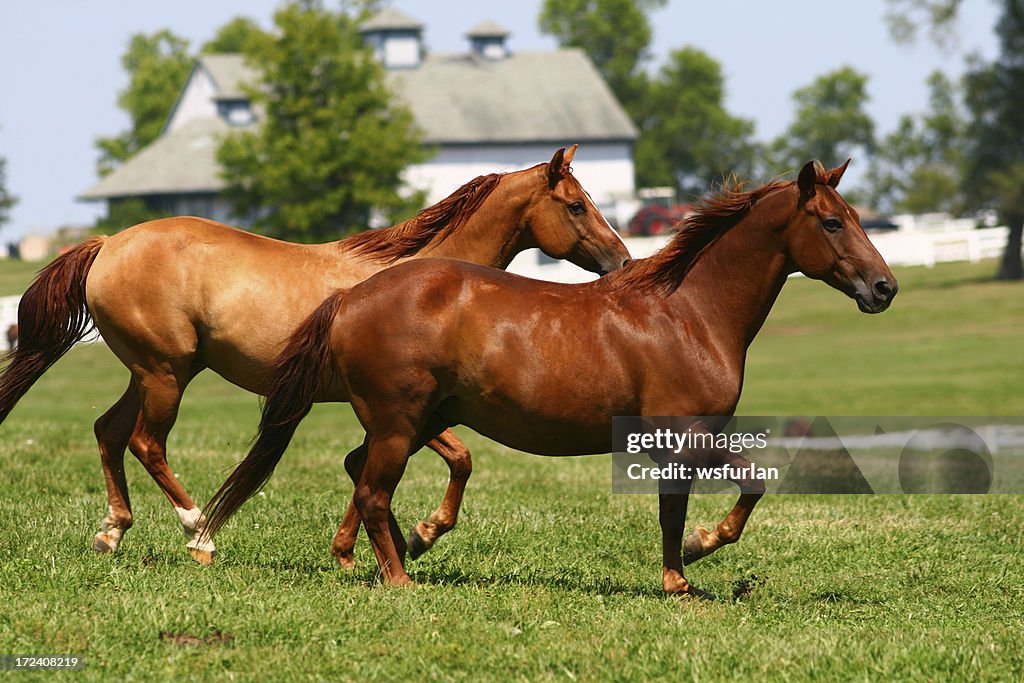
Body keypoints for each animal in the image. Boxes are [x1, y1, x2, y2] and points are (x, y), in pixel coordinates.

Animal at [0, 147, 630, 565]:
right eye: (576, 206)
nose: (623, 262)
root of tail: (109, 243)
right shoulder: (398, 406)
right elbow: (441, 461)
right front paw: (414, 537)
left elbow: (427, 462)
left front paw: (372, 546)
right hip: (165, 374)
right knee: (145, 443)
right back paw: (198, 533)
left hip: (155, 371)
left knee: (108, 432)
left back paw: (112, 531)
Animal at [197, 158, 897, 593]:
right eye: (832, 221)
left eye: (860, 216)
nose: (884, 288)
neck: (687, 312)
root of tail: (350, 297)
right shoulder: (682, 433)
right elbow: (716, 497)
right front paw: (694, 557)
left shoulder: (686, 440)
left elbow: (708, 499)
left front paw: (683, 571)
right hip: (399, 422)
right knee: (371, 491)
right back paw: (400, 576)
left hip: (416, 420)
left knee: (363, 476)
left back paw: (406, 547)